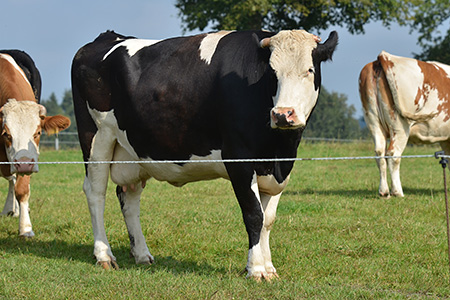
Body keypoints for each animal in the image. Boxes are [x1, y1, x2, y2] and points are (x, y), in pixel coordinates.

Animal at [71, 29, 338, 278]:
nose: (282, 114)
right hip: (96, 138)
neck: (278, 149)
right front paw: (256, 269)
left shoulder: (280, 168)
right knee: (95, 193)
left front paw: (269, 268)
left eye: (309, 70)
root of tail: (107, 37)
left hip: (134, 151)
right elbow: (254, 214)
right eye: (272, 74)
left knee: (129, 197)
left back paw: (142, 254)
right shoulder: (238, 158)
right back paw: (104, 255)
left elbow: (268, 219)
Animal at [360, 51, 450, 197]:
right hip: (399, 126)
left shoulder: (446, 139)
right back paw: (397, 192)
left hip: (373, 121)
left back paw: (384, 192)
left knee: (380, 153)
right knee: (393, 154)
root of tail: (384, 56)